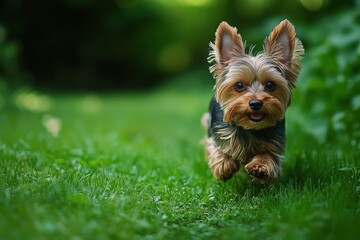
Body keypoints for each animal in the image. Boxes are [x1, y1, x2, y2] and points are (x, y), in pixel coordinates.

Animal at [202, 19, 304, 183]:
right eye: (239, 85)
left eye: (270, 85)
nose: (256, 103)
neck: (250, 128)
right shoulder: (217, 133)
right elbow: (218, 150)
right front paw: (225, 164)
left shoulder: (275, 144)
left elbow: (269, 157)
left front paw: (259, 166)